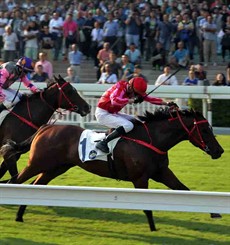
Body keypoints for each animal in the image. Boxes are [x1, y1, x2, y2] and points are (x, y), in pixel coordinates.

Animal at [0, 108, 223, 231]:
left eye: (210, 128)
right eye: (204, 130)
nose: (219, 151)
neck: (150, 139)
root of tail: (46, 128)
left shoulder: (162, 173)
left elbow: (184, 190)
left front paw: (214, 212)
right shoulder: (140, 178)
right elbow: (147, 206)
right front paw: (152, 228)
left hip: (55, 168)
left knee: (35, 185)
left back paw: (20, 215)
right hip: (36, 163)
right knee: (16, 181)